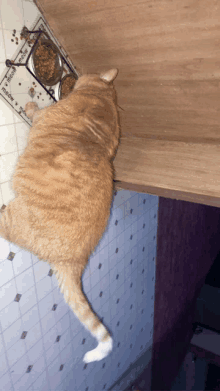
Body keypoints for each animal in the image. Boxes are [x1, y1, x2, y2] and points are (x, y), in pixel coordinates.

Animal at [0, 69, 120, 366]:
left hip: (12, 216)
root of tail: (75, 261)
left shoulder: (43, 115)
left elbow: (34, 111)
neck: (101, 99)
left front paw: (30, 104)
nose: (78, 75)